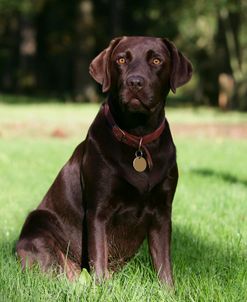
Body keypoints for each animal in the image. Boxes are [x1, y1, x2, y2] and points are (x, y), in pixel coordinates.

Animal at [15, 36, 193, 286]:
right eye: (121, 60)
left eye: (157, 60)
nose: (135, 82)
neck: (138, 138)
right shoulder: (98, 210)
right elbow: (98, 257)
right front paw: (101, 288)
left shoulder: (162, 211)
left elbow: (164, 266)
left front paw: (169, 291)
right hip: (38, 225)